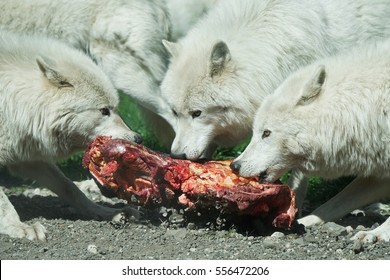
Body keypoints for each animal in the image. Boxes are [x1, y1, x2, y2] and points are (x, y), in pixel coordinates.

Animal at [0, 30, 142, 241]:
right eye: (104, 111)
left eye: (116, 108)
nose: (138, 138)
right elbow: (3, 203)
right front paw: (19, 227)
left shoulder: (29, 159)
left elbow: (70, 188)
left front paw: (107, 212)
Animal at [232, 40, 390, 243]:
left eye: (266, 133)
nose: (234, 165)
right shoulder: (380, 173)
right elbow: (330, 206)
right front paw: (299, 222)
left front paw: (376, 233)